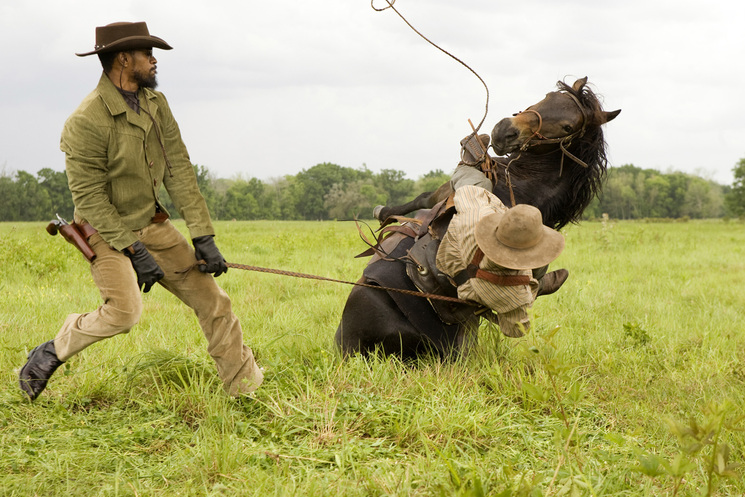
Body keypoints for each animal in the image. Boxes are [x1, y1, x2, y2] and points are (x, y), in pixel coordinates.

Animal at [334, 76, 620, 356]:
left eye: (567, 126)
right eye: (548, 96)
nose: (504, 130)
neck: (524, 187)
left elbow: (424, 198)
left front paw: (384, 212)